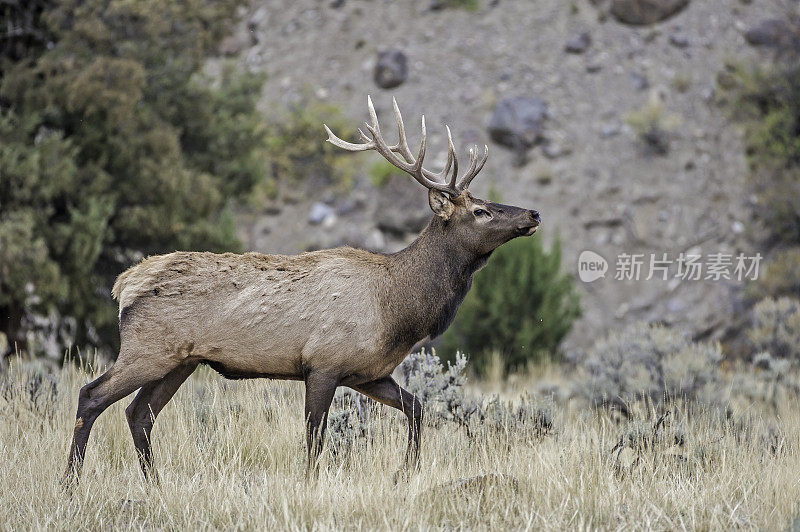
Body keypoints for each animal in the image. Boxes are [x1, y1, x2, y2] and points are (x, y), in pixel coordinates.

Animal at [62, 95, 536, 482]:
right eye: (480, 211)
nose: (532, 213)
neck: (397, 309)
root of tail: (123, 285)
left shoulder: (368, 372)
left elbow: (418, 409)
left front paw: (406, 472)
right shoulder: (323, 362)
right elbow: (314, 438)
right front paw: (311, 484)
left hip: (181, 360)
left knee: (138, 413)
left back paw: (155, 485)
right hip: (148, 349)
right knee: (91, 396)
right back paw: (71, 483)